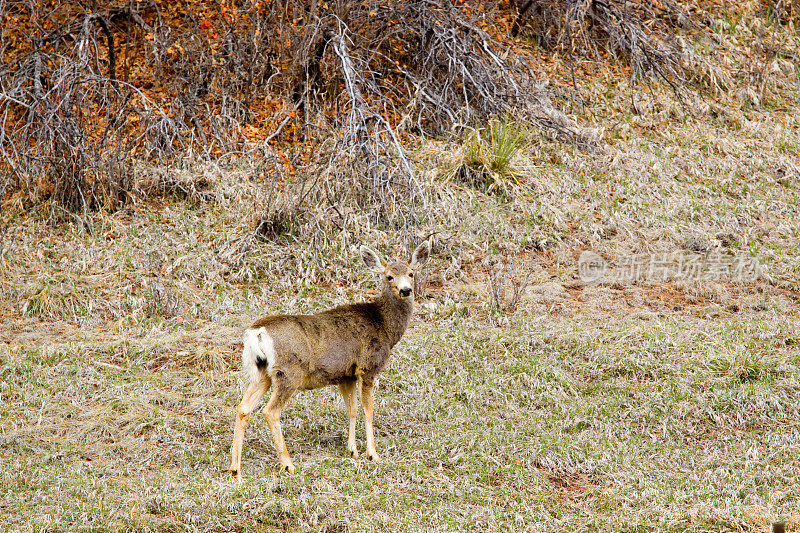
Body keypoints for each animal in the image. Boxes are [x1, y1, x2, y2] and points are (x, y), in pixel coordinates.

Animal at [230, 241, 432, 478]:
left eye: (411, 273)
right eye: (389, 276)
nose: (406, 290)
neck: (384, 327)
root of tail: (257, 332)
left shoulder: (346, 375)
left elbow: (352, 409)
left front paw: (352, 450)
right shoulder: (368, 367)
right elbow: (368, 409)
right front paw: (373, 454)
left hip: (262, 372)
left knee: (243, 408)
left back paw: (235, 469)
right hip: (289, 372)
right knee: (270, 411)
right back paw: (288, 464)